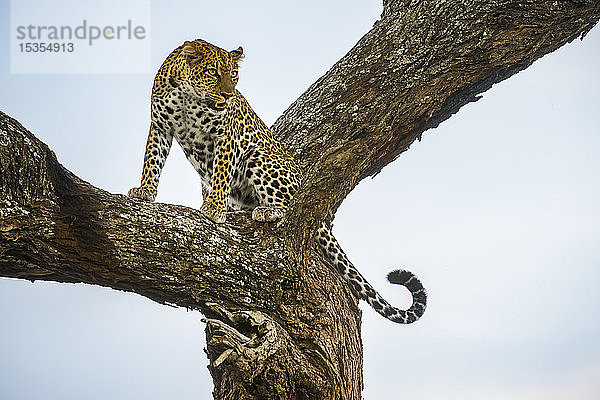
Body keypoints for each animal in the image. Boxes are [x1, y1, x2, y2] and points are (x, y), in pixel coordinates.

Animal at [129, 38, 426, 324]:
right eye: (213, 73)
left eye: (233, 75)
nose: (228, 95)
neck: (188, 96)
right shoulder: (160, 126)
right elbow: (152, 161)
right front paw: (145, 190)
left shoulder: (227, 134)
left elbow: (222, 172)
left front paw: (214, 207)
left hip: (259, 157)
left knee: (292, 206)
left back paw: (267, 211)